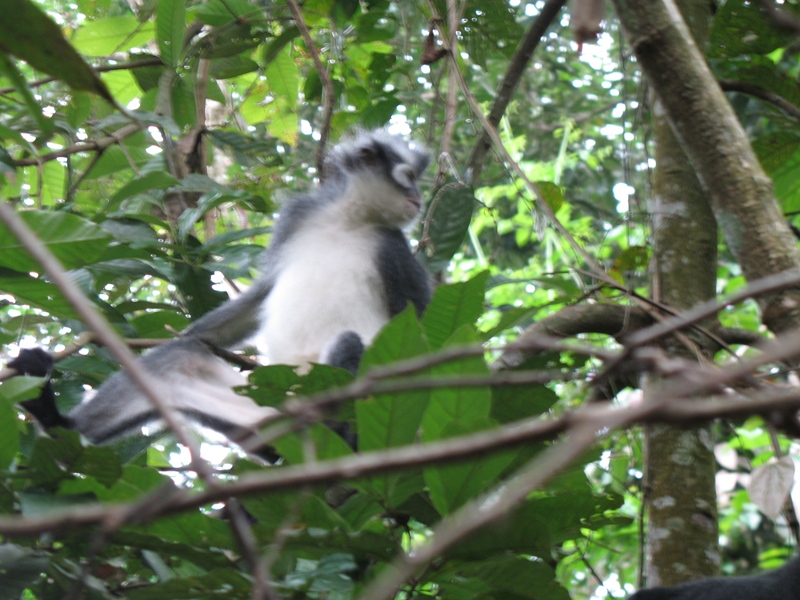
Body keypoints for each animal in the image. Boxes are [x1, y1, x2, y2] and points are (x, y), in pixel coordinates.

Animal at [9, 130, 432, 450]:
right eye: (408, 178)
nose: (419, 199)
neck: (350, 222)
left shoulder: (393, 249)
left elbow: (419, 322)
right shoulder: (299, 219)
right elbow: (256, 300)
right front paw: (188, 332)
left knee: (350, 343)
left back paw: (343, 435)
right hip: (261, 413)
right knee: (176, 361)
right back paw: (55, 422)